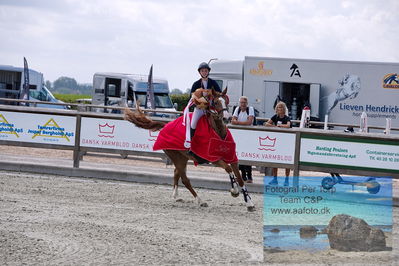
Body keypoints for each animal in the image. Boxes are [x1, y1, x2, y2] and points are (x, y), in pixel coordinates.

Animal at [125, 89, 255, 212]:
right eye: (216, 102)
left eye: (226, 102)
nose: (226, 118)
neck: (218, 132)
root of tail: (165, 126)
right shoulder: (214, 159)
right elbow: (228, 170)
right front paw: (234, 191)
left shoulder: (232, 158)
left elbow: (240, 179)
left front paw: (249, 204)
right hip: (176, 157)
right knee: (185, 180)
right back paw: (200, 200)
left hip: (182, 158)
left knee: (176, 173)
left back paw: (176, 196)